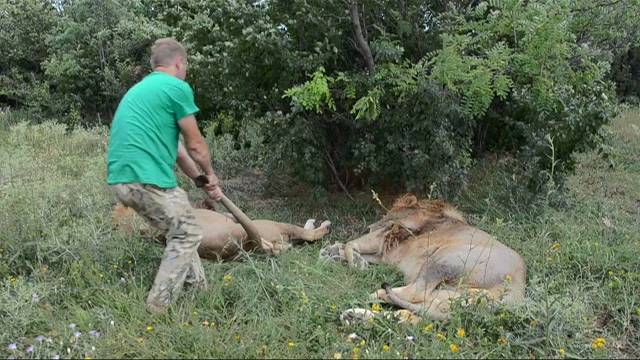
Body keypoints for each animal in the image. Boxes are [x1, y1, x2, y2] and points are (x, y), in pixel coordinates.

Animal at [320, 194, 524, 320]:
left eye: (387, 216)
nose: (369, 227)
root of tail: (518, 289)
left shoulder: (383, 240)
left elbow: (350, 243)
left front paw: (355, 262)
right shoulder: (385, 253)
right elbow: (348, 247)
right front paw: (332, 253)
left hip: (445, 257)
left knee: (415, 291)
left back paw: (374, 295)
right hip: (450, 296)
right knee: (414, 313)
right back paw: (355, 316)